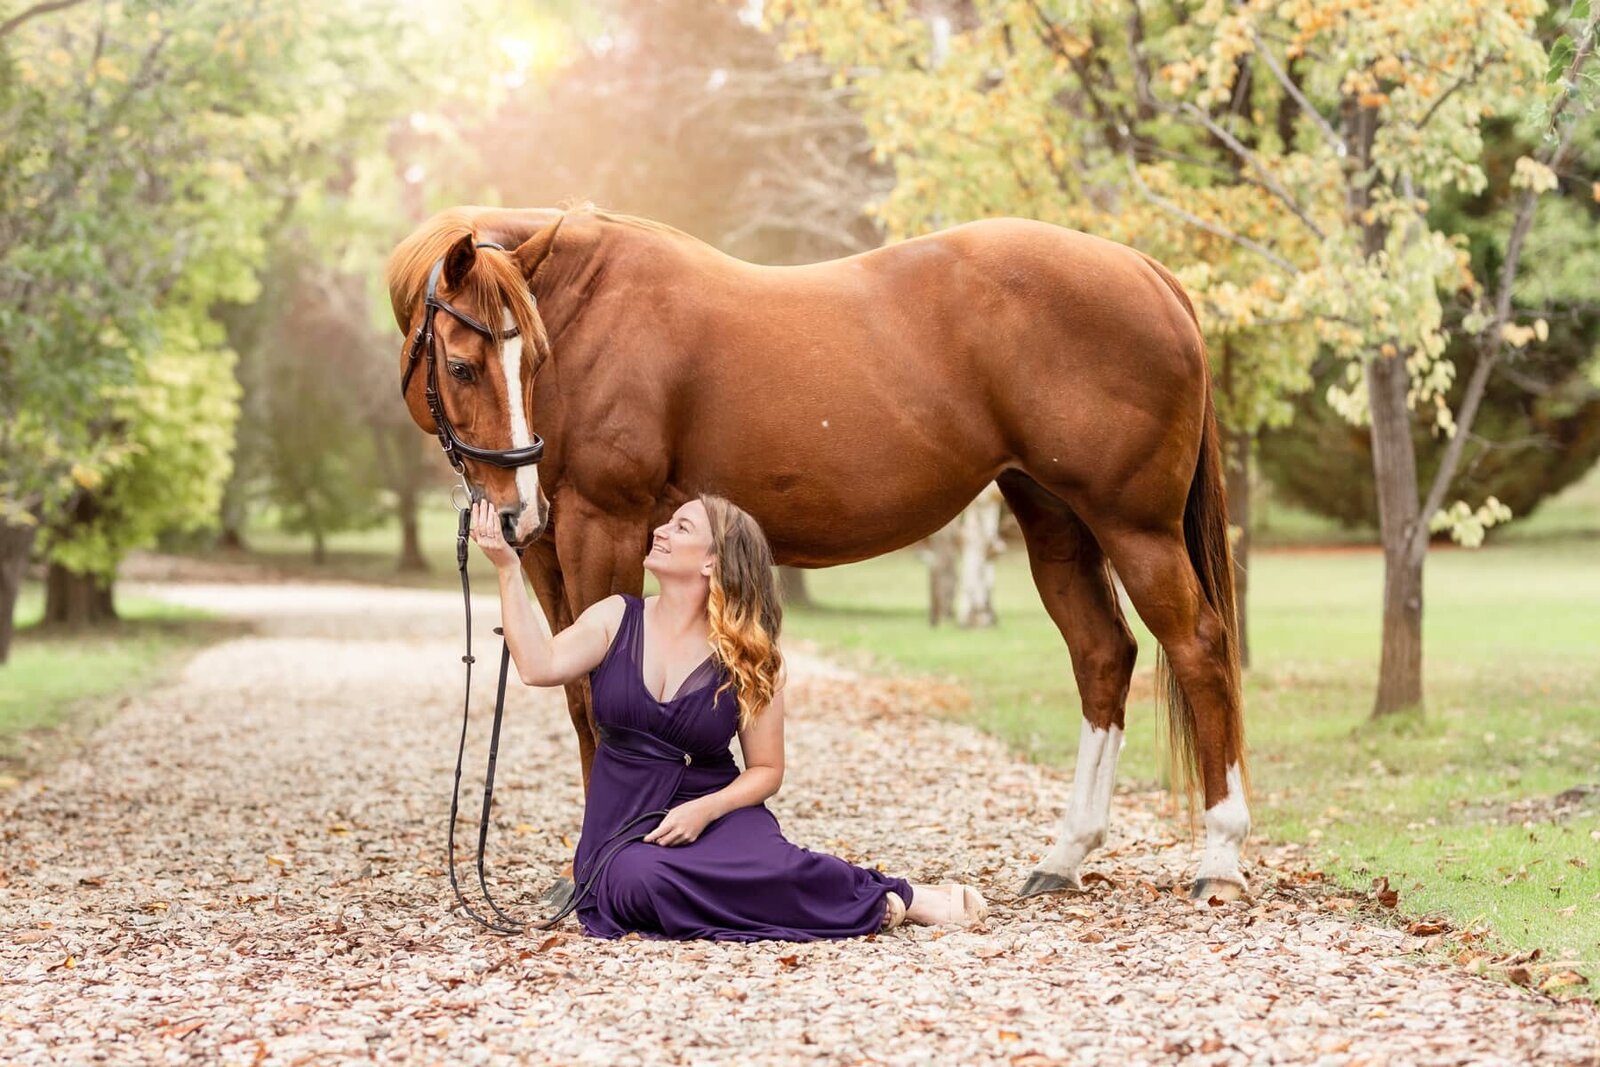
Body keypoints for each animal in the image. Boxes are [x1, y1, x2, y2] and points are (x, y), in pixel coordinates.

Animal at [384, 206, 1248, 902]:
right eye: (465, 365)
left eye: (528, 359)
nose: (514, 510)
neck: (596, 310)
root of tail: (1147, 271)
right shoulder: (549, 550)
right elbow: (575, 693)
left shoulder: (606, 525)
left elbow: (602, 702)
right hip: (1055, 519)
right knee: (1103, 656)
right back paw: (1065, 858)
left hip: (1134, 525)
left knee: (1199, 649)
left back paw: (1220, 860)